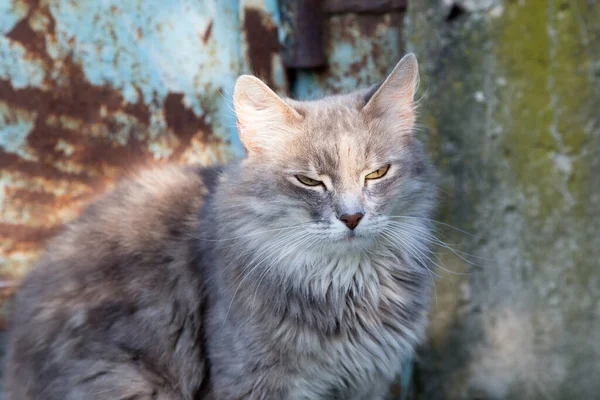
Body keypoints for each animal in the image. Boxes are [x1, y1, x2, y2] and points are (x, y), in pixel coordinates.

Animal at [3, 54, 436, 400]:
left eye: (377, 173)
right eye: (309, 182)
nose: (351, 217)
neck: (346, 288)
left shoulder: (366, 381)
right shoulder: (253, 382)